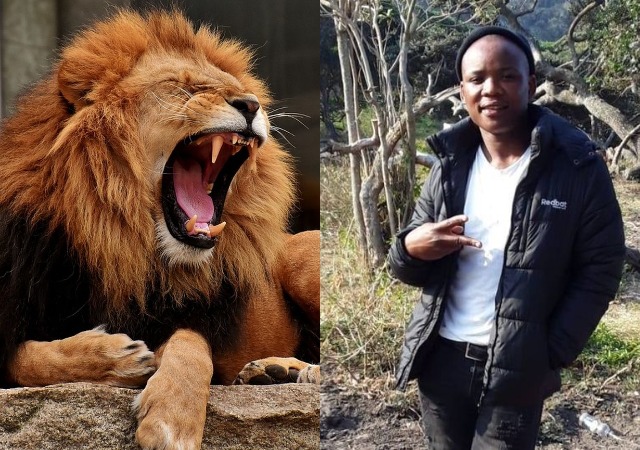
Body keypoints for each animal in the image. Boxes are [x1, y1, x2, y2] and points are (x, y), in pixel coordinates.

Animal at [0, 9, 319, 450]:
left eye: (244, 91)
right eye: (182, 87)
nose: (251, 104)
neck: (118, 242)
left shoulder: (190, 315)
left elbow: (189, 343)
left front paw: (171, 420)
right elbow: (26, 359)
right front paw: (114, 358)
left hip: (302, 253)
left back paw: (293, 371)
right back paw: (271, 373)